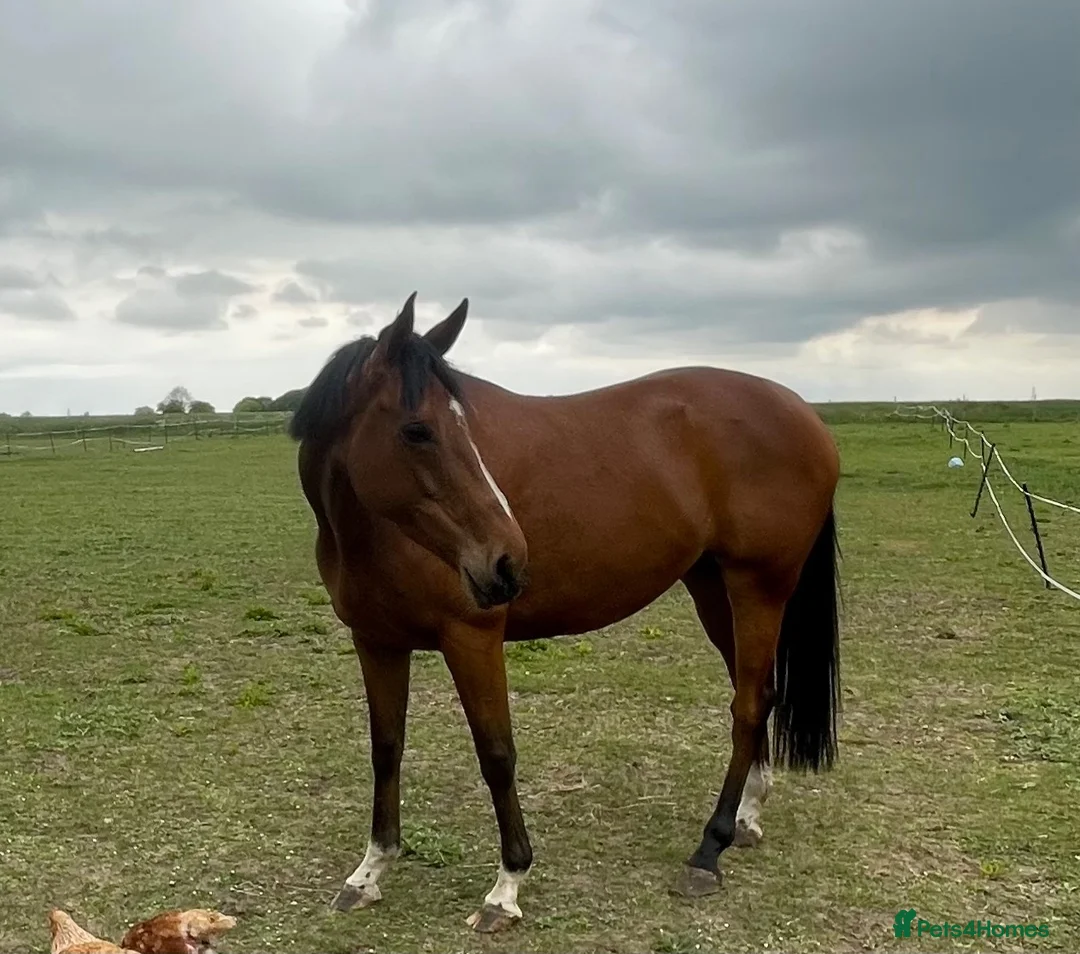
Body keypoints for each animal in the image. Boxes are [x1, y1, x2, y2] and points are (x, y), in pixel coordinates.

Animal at [288, 292, 841, 933]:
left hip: (760, 587)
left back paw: (710, 848)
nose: (506, 560)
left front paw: (506, 886)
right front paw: (370, 871)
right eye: (417, 430)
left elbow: (497, 755)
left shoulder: (472, 637)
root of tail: (804, 415)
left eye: (463, 426)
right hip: (713, 587)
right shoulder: (376, 641)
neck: (373, 533)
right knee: (759, 694)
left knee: (749, 704)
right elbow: (386, 748)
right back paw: (747, 817)